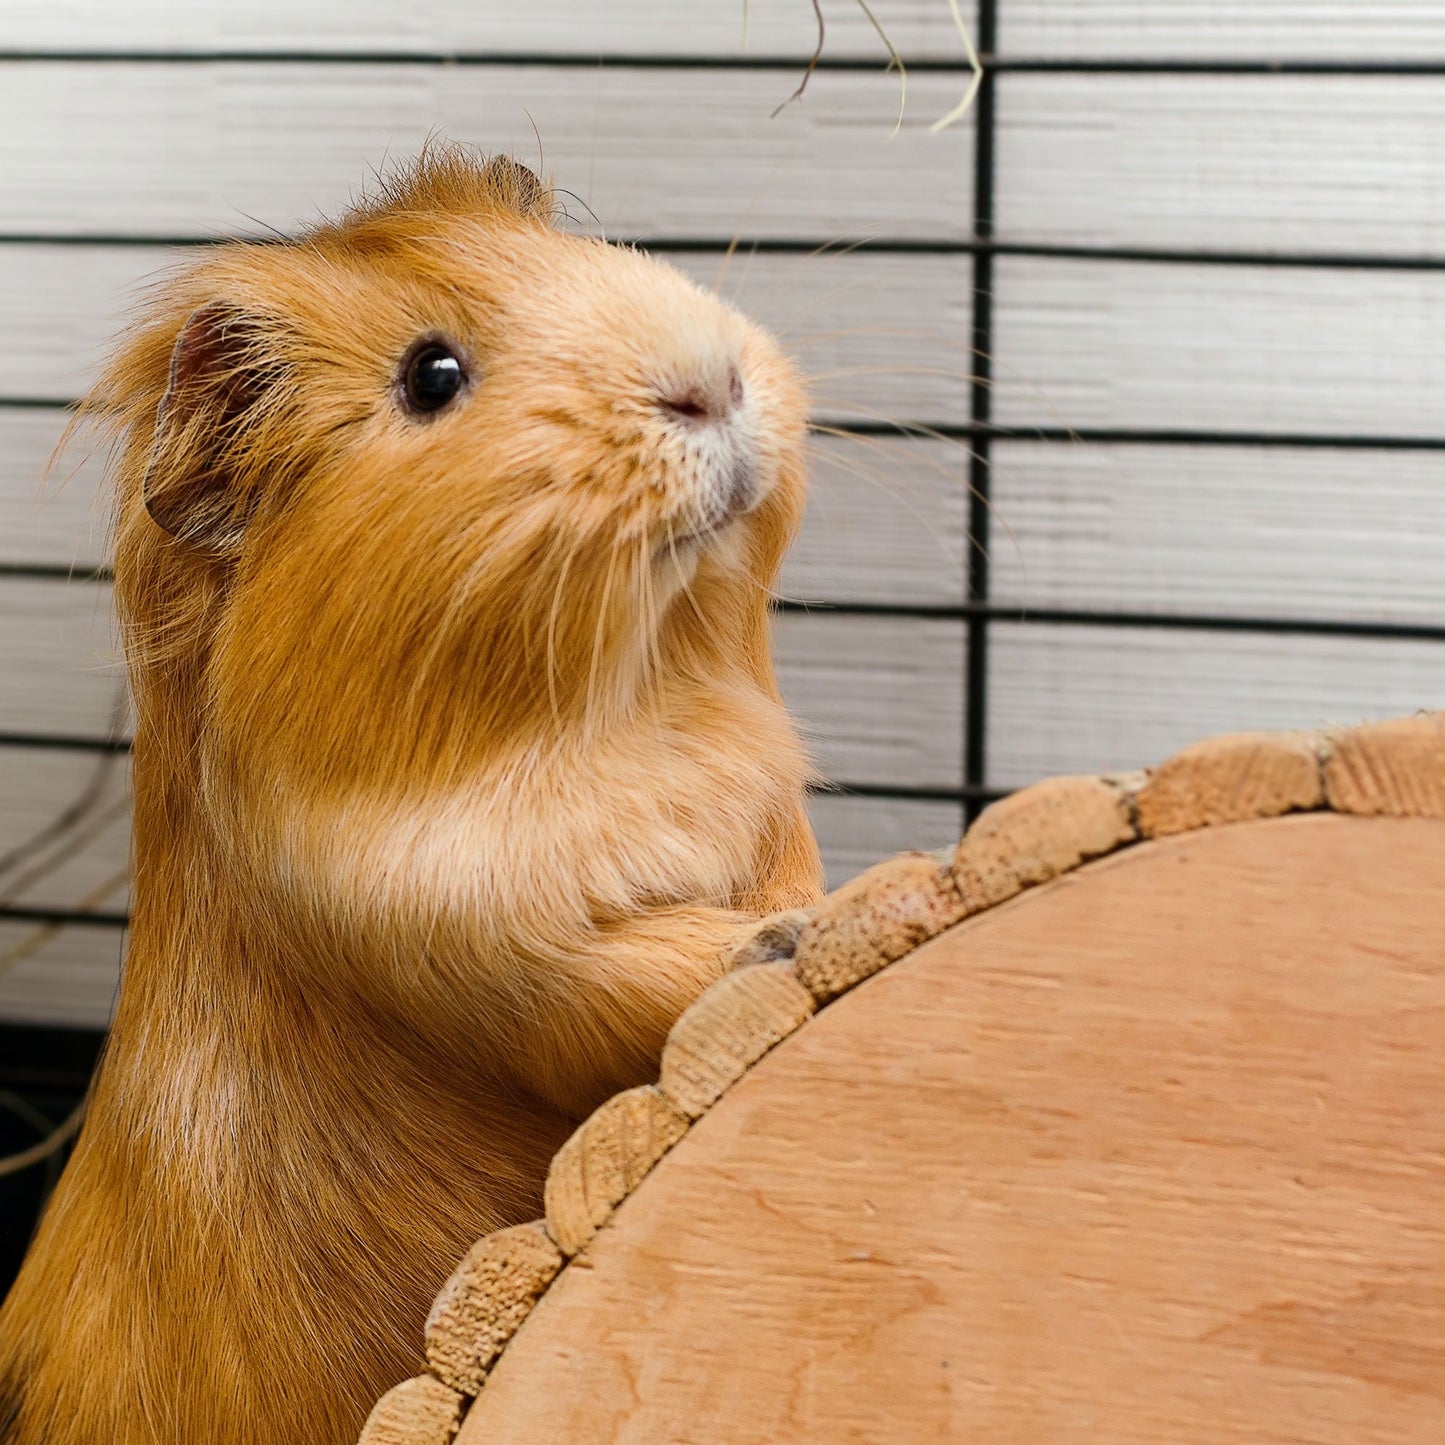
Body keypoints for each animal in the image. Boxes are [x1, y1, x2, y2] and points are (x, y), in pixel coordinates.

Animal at [0, 149, 823, 1445]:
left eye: (598, 258)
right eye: (429, 376)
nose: (710, 382)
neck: (630, 704)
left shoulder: (763, 811)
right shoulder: (455, 930)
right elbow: (639, 976)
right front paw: (773, 945)